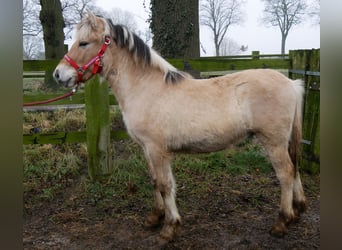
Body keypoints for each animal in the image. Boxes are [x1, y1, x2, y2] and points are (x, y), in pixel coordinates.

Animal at [54, 13, 308, 244]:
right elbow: (154, 181)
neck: (145, 87)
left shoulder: (157, 150)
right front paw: (154, 218)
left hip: (273, 142)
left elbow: (166, 185)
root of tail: (291, 83)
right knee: (294, 168)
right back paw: (298, 210)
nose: (58, 74)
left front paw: (169, 228)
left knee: (286, 173)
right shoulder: (147, 149)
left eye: (84, 43)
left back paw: (281, 222)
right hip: (283, 142)